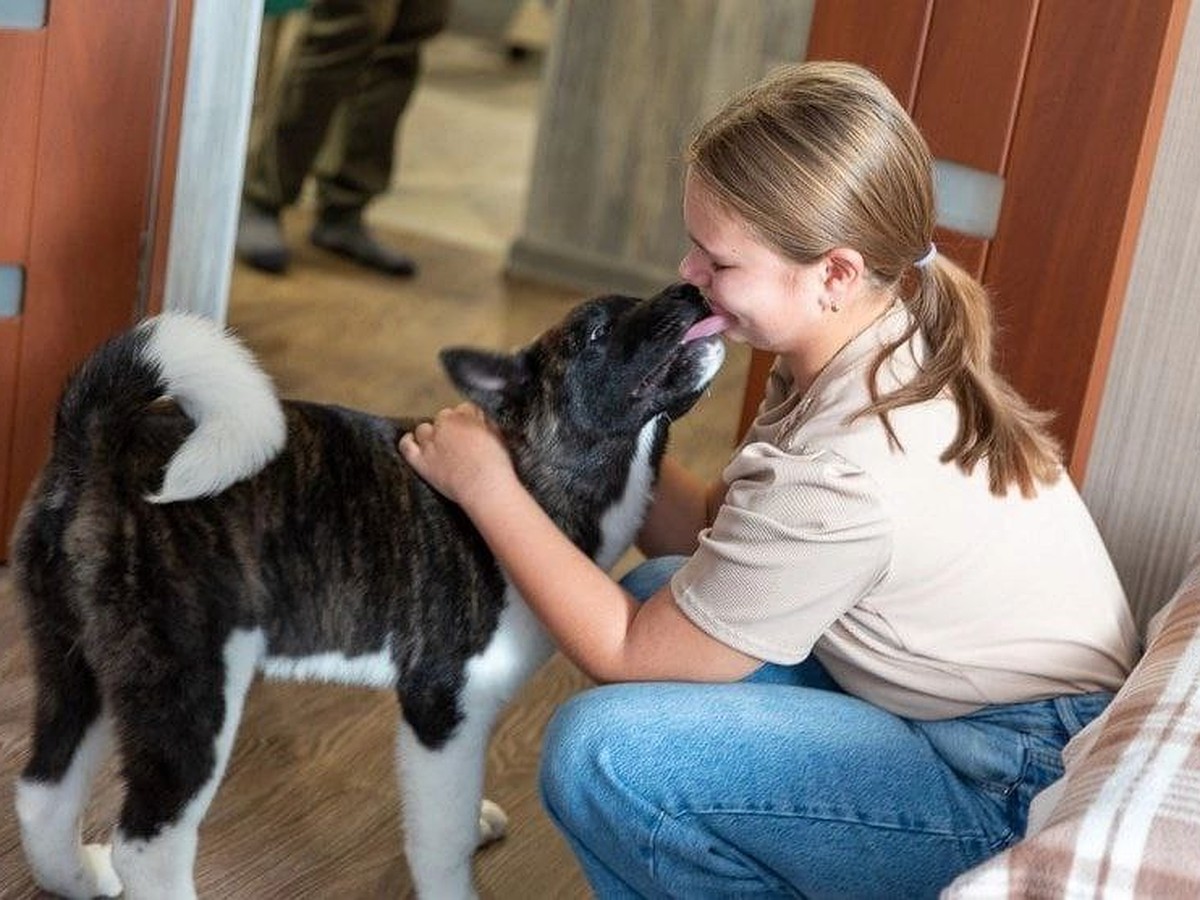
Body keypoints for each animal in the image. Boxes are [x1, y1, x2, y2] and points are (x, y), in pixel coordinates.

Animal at [11, 280, 720, 897]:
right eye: (596, 334)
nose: (692, 290)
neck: (527, 475)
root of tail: (94, 443)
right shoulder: (442, 707)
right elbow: (441, 841)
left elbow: (457, 806)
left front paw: (477, 820)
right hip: (189, 693)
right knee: (147, 847)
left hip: (83, 664)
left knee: (43, 792)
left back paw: (79, 879)